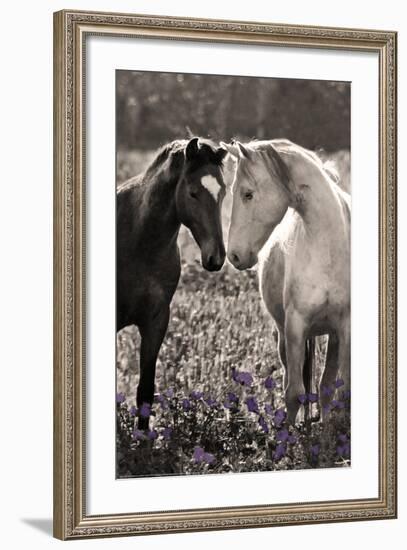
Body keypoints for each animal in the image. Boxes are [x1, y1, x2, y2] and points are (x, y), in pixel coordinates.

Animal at [116, 139, 228, 432]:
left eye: (223, 192)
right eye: (192, 193)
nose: (216, 258)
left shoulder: (156, 321)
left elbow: (145, 390)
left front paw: (143, 438)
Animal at [222, 140, 352, 424]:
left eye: (247, 194)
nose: (234, 255)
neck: (328, 248)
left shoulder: (344, 328)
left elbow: (338, 390)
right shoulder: (295, 325)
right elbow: (294, 393)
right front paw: (286, 434)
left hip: (332, 336)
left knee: (325, 387)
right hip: (283, 334)